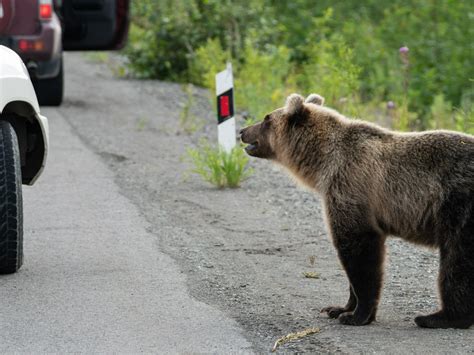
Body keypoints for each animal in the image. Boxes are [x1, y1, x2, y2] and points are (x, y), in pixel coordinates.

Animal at [241, 93, 474, 330]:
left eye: (266, 119)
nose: (243, 131)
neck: (322, 161)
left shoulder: (350, 185)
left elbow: (359, 252)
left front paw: (357, 315)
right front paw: (339, 308)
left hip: (457, 205)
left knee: (457, 262)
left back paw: (438, 317)